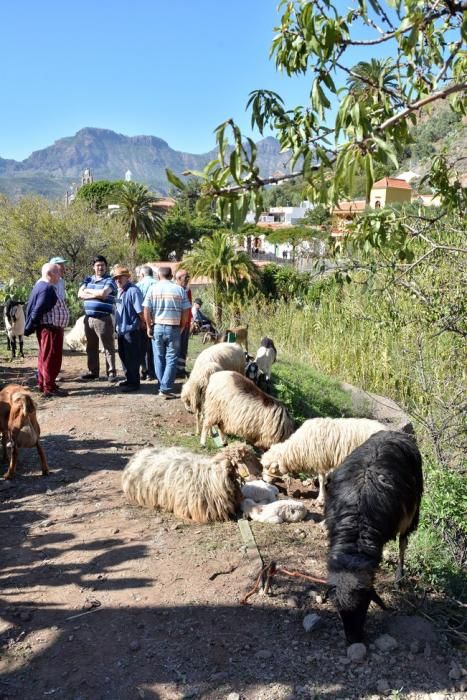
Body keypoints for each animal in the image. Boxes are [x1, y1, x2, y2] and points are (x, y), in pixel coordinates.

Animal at [262, 418, 390, 506]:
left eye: (269, 468)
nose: (263, 480)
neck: (298, 447)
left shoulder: (321, 461)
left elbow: (321, 480)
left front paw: (320, 498)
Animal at [326, 432, 424, 644]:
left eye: (364, 606)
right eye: (340, 612)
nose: (353, 640)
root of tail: (393, 433)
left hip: (413, 511)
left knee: (403, 543)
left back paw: (399, 577)